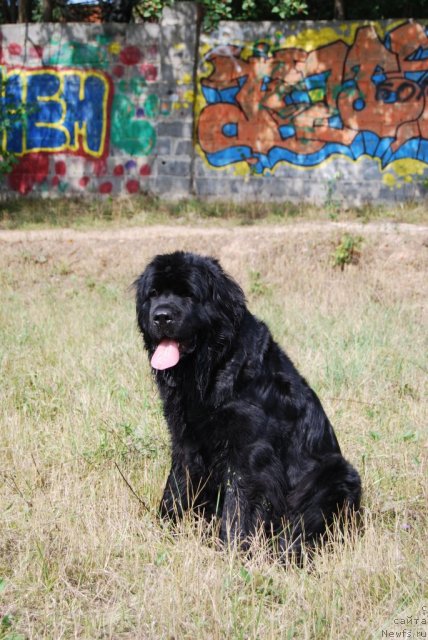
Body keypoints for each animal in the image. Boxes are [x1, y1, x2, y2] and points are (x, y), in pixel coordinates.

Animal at [135, 252, 362, 556]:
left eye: (188, 294)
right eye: (154, 293)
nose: (161, 316)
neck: (212, 368)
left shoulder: (249, 451)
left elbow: (239, 505)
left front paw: (232, 550)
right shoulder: (185, 441)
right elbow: (176, 488)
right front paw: (163, 531)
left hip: (336, 474)